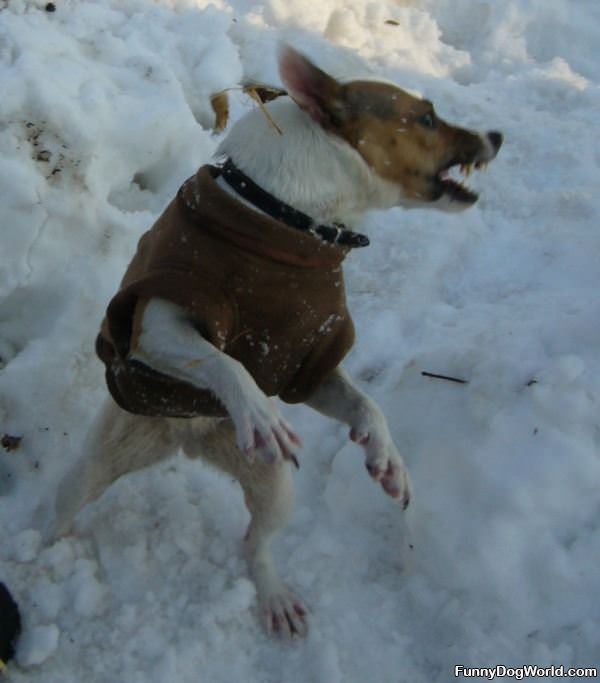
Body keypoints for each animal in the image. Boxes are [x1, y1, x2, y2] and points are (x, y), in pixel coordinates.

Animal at [52, 45, 502, 640]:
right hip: (98, 462)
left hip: (274, 489)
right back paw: (43, 554)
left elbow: (365, 403)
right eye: (426, 117)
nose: (497, 135)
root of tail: (188, 440)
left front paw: (386, 455)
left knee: (255, 542)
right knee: (65, 506)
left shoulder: (307, 364)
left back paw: (273, 596)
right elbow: (222, 362)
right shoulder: (158, 322)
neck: (288, 216)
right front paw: (260, 414)